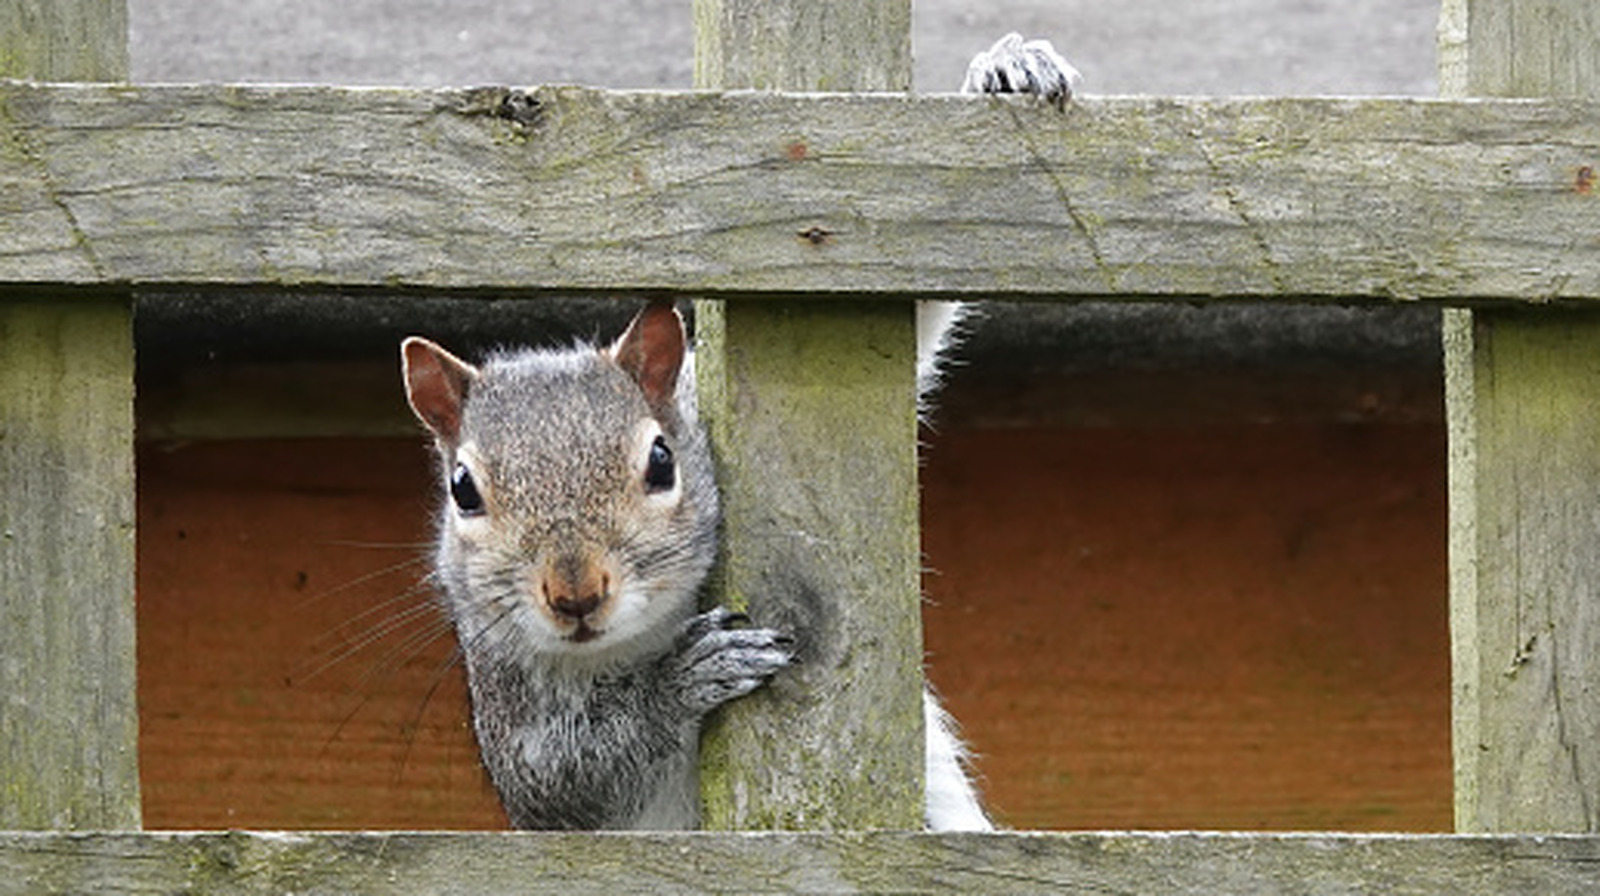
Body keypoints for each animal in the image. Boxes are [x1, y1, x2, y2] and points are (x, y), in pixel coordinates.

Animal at [398, 34, 1077, 831]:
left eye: (662, 461)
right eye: (462, 491)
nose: (575, 592)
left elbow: (907, 327)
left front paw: (1007, 72)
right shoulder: (516, 721)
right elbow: (572, 776)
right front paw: (682, 679)